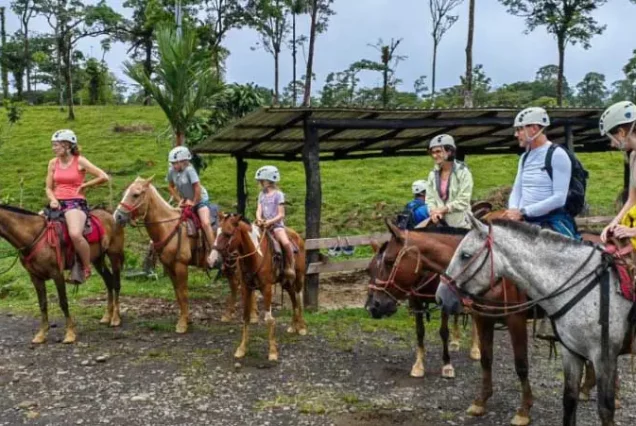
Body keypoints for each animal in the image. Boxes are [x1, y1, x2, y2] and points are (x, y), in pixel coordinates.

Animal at [0, 202, 125, 342]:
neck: (34, 236)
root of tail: (110, 214)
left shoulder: (57, 274)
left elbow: (63, 302)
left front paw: (70, 334)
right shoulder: (35, 277)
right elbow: (42, 304)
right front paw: (41, 334)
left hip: (114, 255)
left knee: (116, 284)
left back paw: (115, 318)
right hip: (97, 259)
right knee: (109, 282)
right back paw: (107, 316)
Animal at [114, 176, 256, 332]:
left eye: (136, 194)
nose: (118, 216)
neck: (167, 226)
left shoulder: (181, 265)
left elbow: (184, 293)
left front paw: (182, 324)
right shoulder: (169, 267)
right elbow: (178, 293)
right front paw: (186, 319)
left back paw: (252, 316)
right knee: (235, 284)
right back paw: (229, 315)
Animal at [209, 215, 306, 362]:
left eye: (228, 234)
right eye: (216, 232)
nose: (211, 260)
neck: (255, 256)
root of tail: (298, 237)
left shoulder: (267, 289)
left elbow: (269, 319)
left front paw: (272, 351)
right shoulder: (246, 288)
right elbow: (246, 317)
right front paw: (242, 349)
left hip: (299, 278)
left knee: (299, 299)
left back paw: (301, 327)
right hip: (286, 282)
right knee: (294, 300)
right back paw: (292, 326)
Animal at [438, 215, 636, 426]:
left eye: (465, 255)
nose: (440, 297)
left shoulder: (603, 356)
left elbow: (605, 410)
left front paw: (523, 411)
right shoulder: (571, 352)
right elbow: (569, 400)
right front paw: (480, 402)